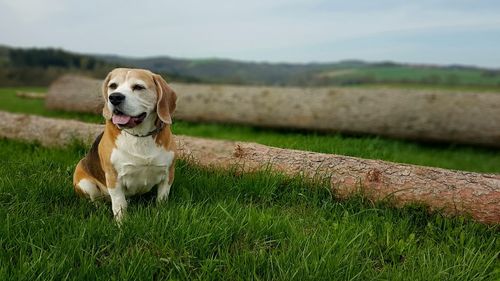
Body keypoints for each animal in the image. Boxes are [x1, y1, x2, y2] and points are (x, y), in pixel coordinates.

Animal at [73, 68, 177, 221]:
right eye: (113, 86)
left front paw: (161, 214)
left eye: (138, 87)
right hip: (86, 184)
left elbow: (161, 199)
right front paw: (121, 223)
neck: (140, 136)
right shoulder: (113, 178)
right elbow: (119, 204)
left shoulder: (168, 174)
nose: (115, 97)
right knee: (95, 200)